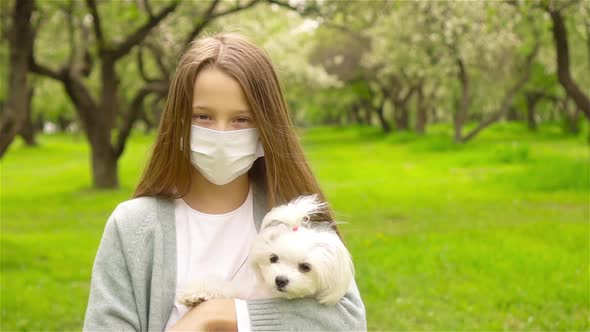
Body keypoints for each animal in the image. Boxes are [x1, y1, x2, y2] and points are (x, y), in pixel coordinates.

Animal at [179, 195, 356, 306]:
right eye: (273, 258)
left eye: (306, 267)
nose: (280, 280)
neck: (272, 295)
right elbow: (224, 288)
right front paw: (197, 294)